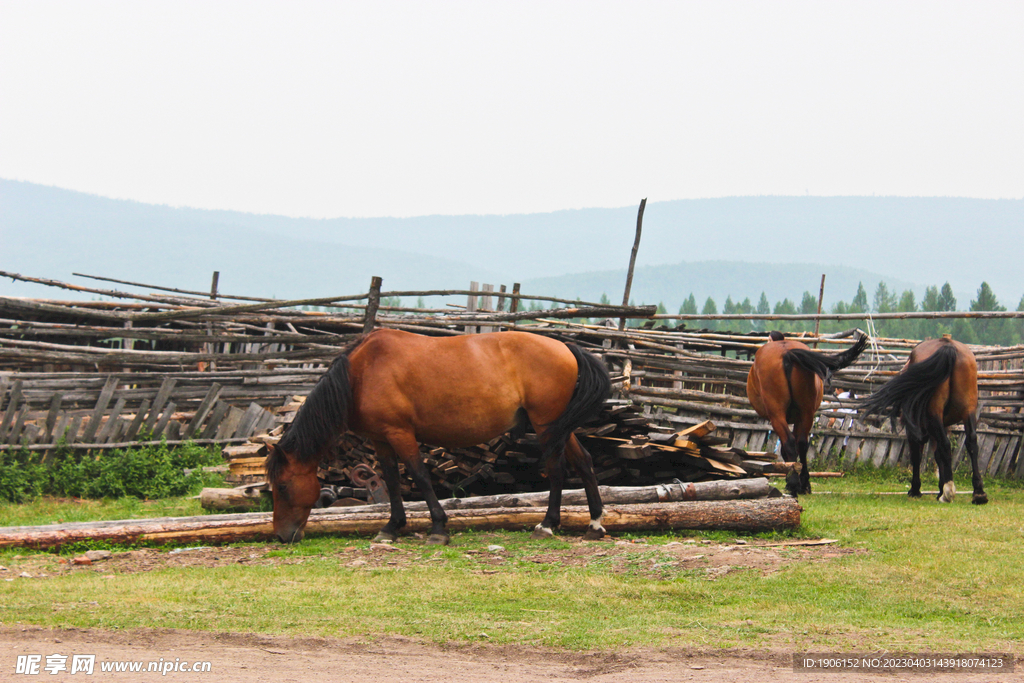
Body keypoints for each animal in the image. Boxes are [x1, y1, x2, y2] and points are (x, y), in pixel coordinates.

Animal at [268, 327, 610, 548]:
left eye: (282, 486)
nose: (283, 535)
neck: (361, 373)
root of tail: (566, 347)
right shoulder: (380, 438)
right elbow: (391, 479)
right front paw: (391, 527)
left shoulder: (400, 433)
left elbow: (419, 475)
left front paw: (438, 528)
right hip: (559, 427)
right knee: (584, 462)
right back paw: (594, 524)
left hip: (545, 424)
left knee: (556, 469)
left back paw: (548, 525)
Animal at [749, 331, 868, 497]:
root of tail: (787, 353)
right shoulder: (799, 418)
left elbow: (784, 449)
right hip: (806, 413)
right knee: (802, 443)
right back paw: (804, 484)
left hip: (777, 414)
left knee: (790, 443)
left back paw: (793, 484)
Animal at [860, 339, 987, 505]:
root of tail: (948, 345)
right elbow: (937, 455)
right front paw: (939, 489)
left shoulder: (916, 429)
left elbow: (917, 455)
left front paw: (916, 489)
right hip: (968, 410)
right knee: (971, 442)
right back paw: (978, 492)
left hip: (934, 414)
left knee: (945, 445)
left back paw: (948, 492)